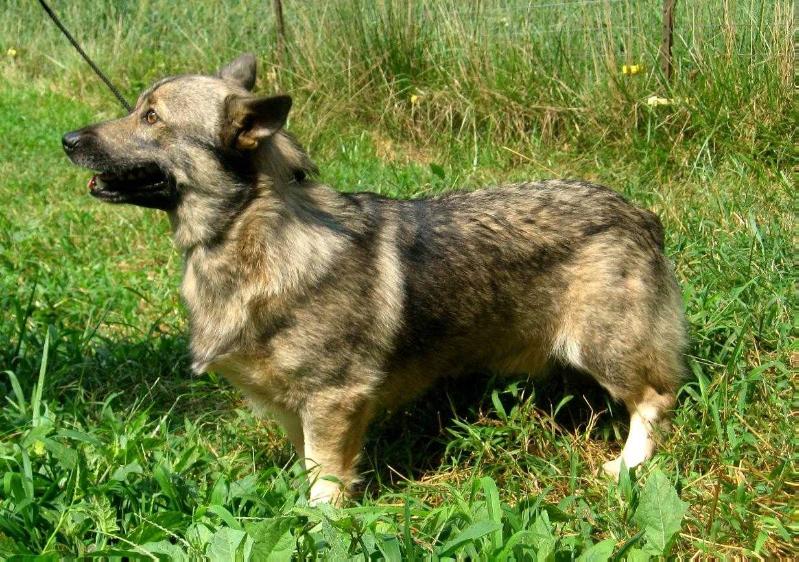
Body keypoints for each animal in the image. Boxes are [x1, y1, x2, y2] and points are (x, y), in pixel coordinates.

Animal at [64, 54, 688, 504]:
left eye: (151, 117)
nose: (68, 141)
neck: (247, 230)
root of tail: (641, 215)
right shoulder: (293, 404)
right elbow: (308, 465)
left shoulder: (335, 399)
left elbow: (325, 480)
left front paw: (320, 530)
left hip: (604, 344)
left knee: (655, 398)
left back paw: (628, 464)